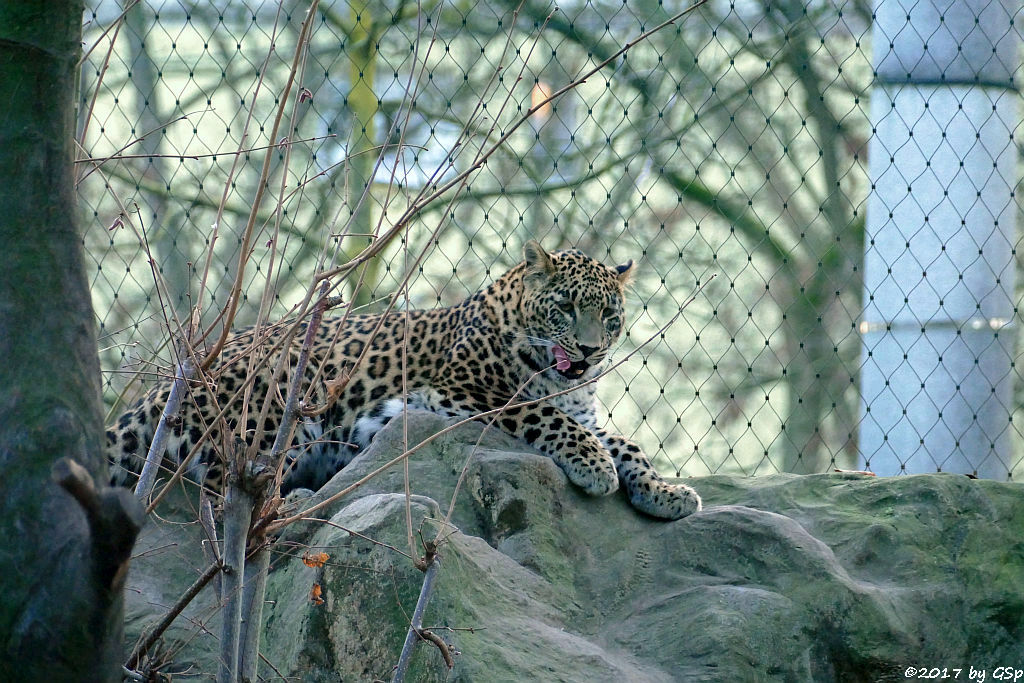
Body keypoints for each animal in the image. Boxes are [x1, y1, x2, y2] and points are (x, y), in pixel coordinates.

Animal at [108, 240, 700, 518]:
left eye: (610, 317)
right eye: (567, 308)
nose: (590, 349)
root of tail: (163, 387)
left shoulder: (585, 412)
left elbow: (627, 442)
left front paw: (665, 492)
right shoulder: (466, 390)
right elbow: (547, 415)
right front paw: (596, 468)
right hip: (274, 405)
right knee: (221, 491)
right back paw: (291, 505)